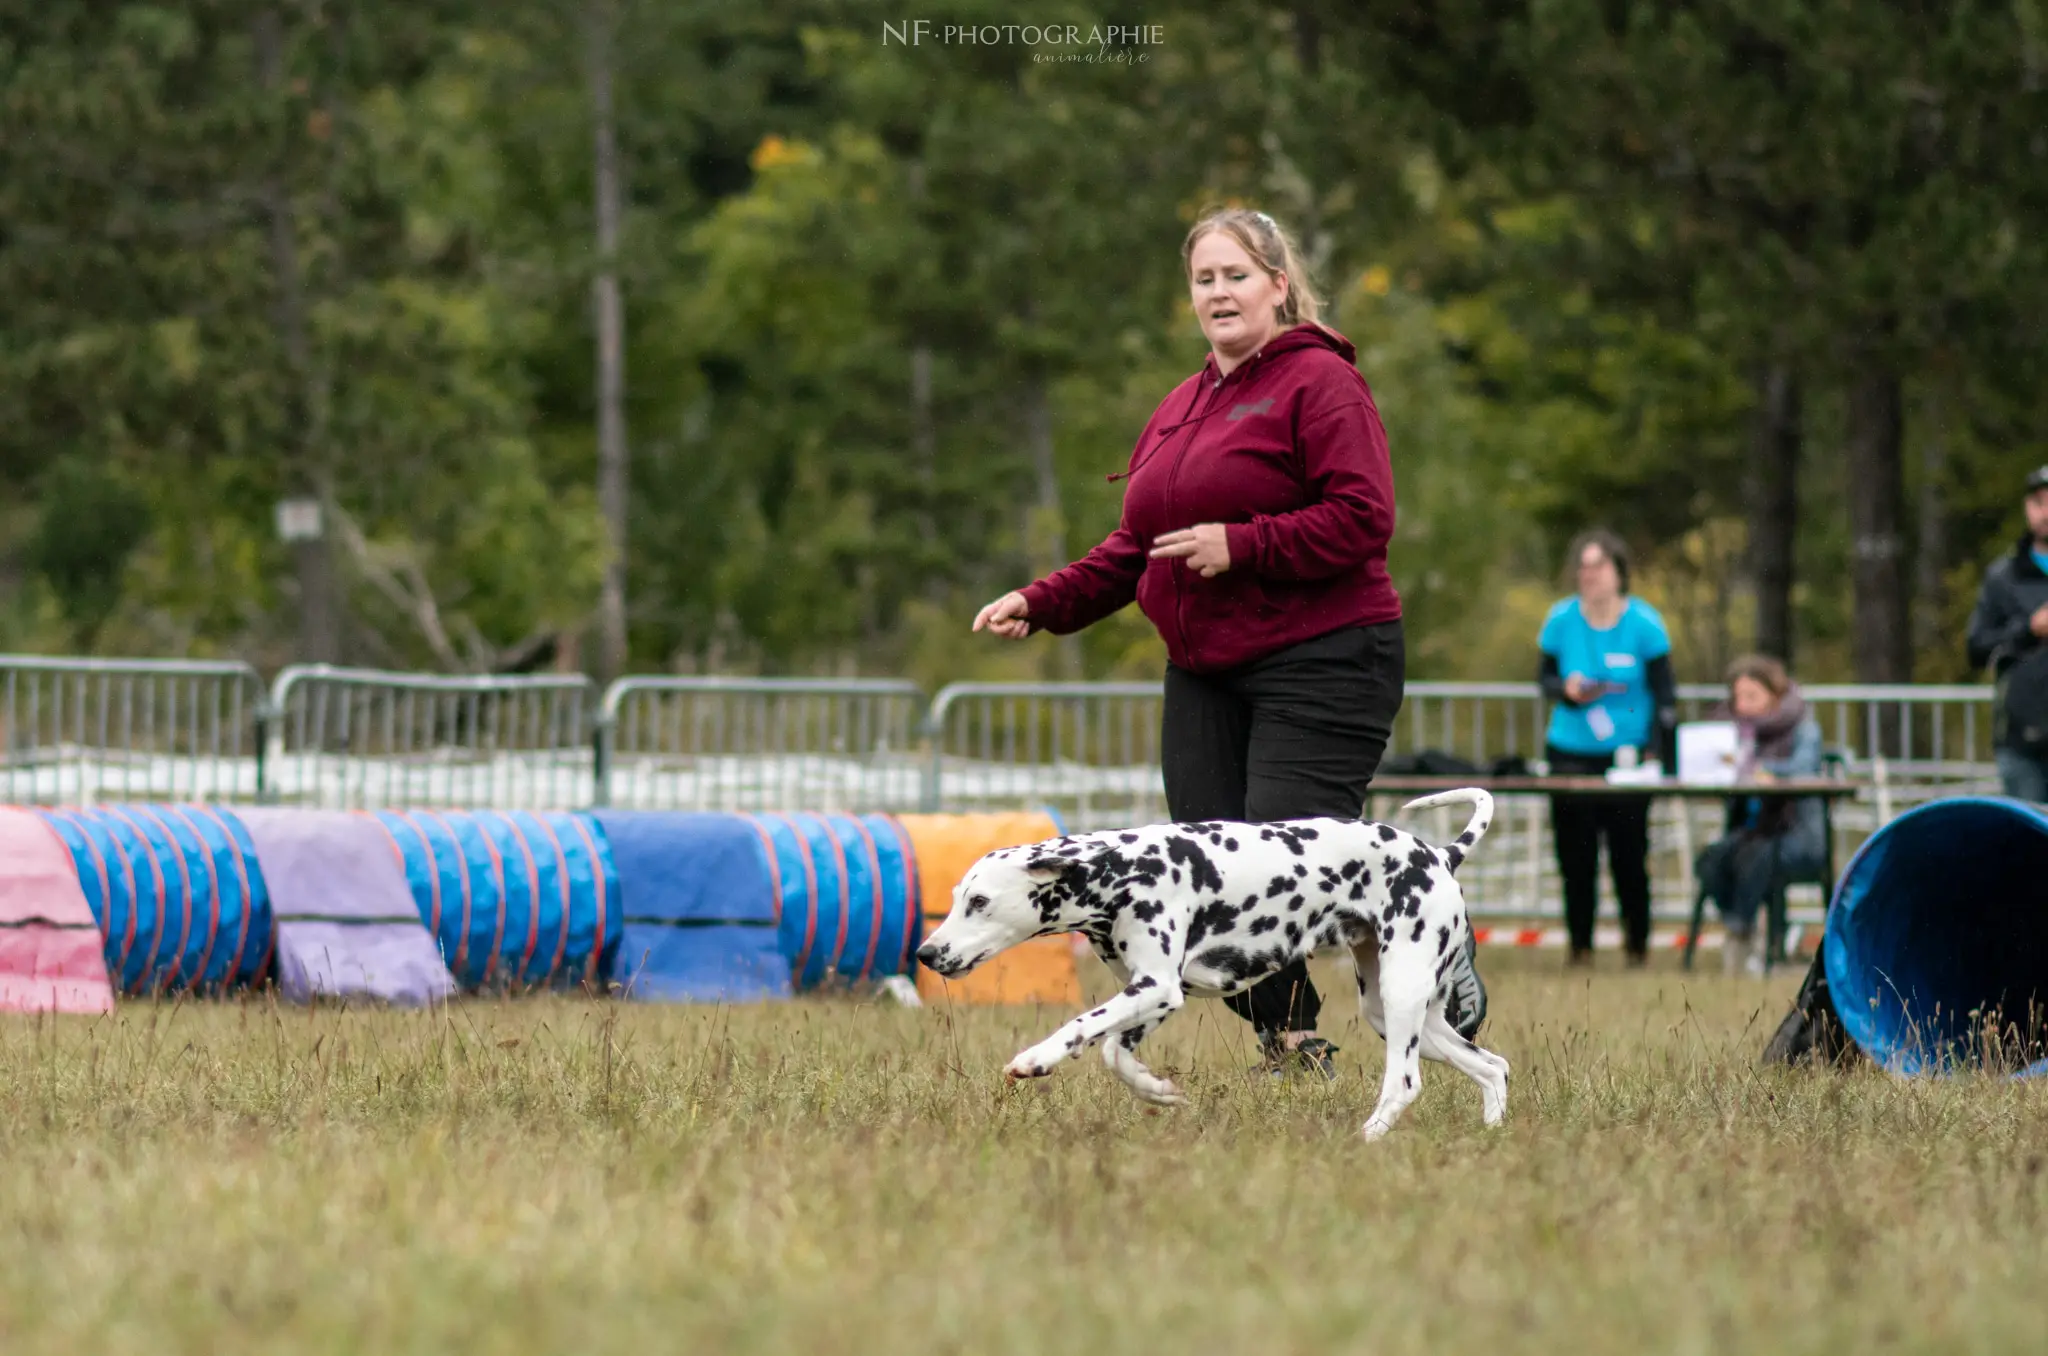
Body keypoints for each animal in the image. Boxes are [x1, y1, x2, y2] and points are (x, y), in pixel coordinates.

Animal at [921, 790, 1515, 1138]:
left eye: (979, 902)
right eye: (955, 898)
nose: (926, 953)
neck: (1119, 870)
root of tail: (1440, 855)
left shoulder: (1154, 988)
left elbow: (1080, 1026)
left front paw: (1036, 1058)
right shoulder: (1156, 993)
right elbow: (1114, 1051)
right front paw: (1157, 1091)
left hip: (1401, 997)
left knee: (1405, 1083)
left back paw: (1366, 1138)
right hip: (1398, 1011)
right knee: (1493, 1066)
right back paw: (1491, 1135)